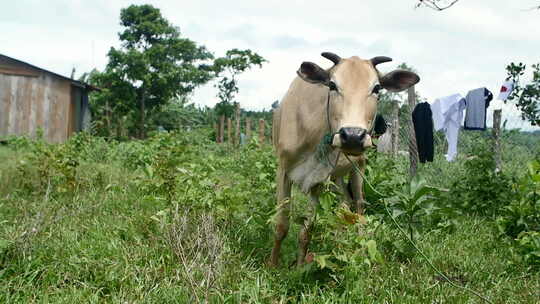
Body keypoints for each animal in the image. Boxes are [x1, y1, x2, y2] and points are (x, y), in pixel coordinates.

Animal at [268, 53, 418, 268]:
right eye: (332, 85)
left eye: (377, 88)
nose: (353, 136)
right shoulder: (283, 170)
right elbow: (281, 225)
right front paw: (273, 265)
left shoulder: (318, 181)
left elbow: (307, 231)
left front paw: (298, 267)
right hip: (337, 175)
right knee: (344, 203)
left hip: (358, 165)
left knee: (358, 205)